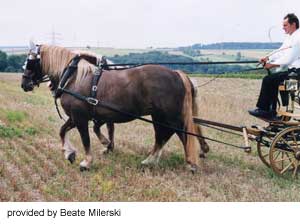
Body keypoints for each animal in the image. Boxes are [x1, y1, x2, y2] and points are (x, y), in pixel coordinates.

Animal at [21, 42, 209, 172]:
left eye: (30, 62)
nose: (24, 84)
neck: (74, 77)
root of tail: (177, 73)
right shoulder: (76, 117)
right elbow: (62, 131)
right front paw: (69, 153)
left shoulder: (81, 118)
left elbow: (86, 139)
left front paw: (86, 162)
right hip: (160, 116)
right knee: (163, 136)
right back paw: (150, 160)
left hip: (169, 116)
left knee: (181, 134)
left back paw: (191, 163)